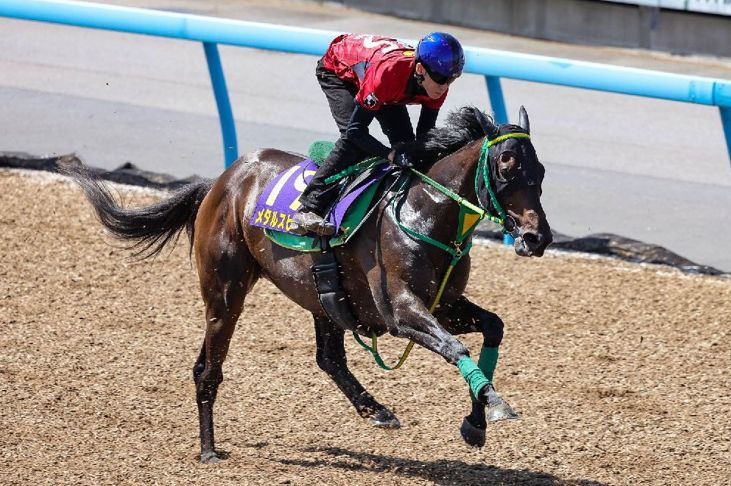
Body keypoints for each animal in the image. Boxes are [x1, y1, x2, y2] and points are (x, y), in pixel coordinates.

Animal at [61, 106, 552, 463]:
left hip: (322, 296)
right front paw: (493, 407)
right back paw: (208, 450)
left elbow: (492, 327)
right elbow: (456, 347)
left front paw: (477, 423)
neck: (426, 211)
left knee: (329, 357)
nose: (537, 237)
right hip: (224, 293)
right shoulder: (401, 311)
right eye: (506, 165)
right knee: (207, 368)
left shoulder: (445, 303)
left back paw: (375, 410)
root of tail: (223, 180)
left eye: (541, 171)